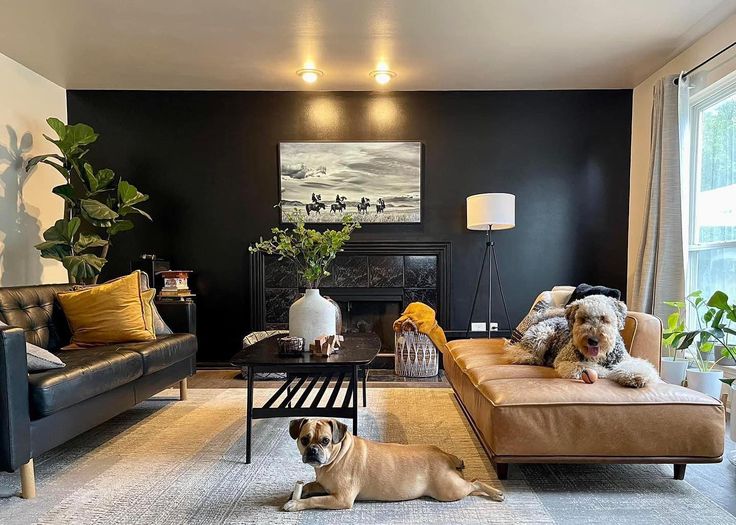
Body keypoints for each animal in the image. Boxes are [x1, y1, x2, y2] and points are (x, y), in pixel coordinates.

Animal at [506, 296, 660, 386]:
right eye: (583, 318)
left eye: (604, 318)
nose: (593, 340)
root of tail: (546, 317)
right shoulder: (567, 362)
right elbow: (597, 369)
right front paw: (610, 372)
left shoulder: (625, 359)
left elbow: (636, 366)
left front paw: (636, 376)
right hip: (542, 335)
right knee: (517, 351)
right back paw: (530, 358)